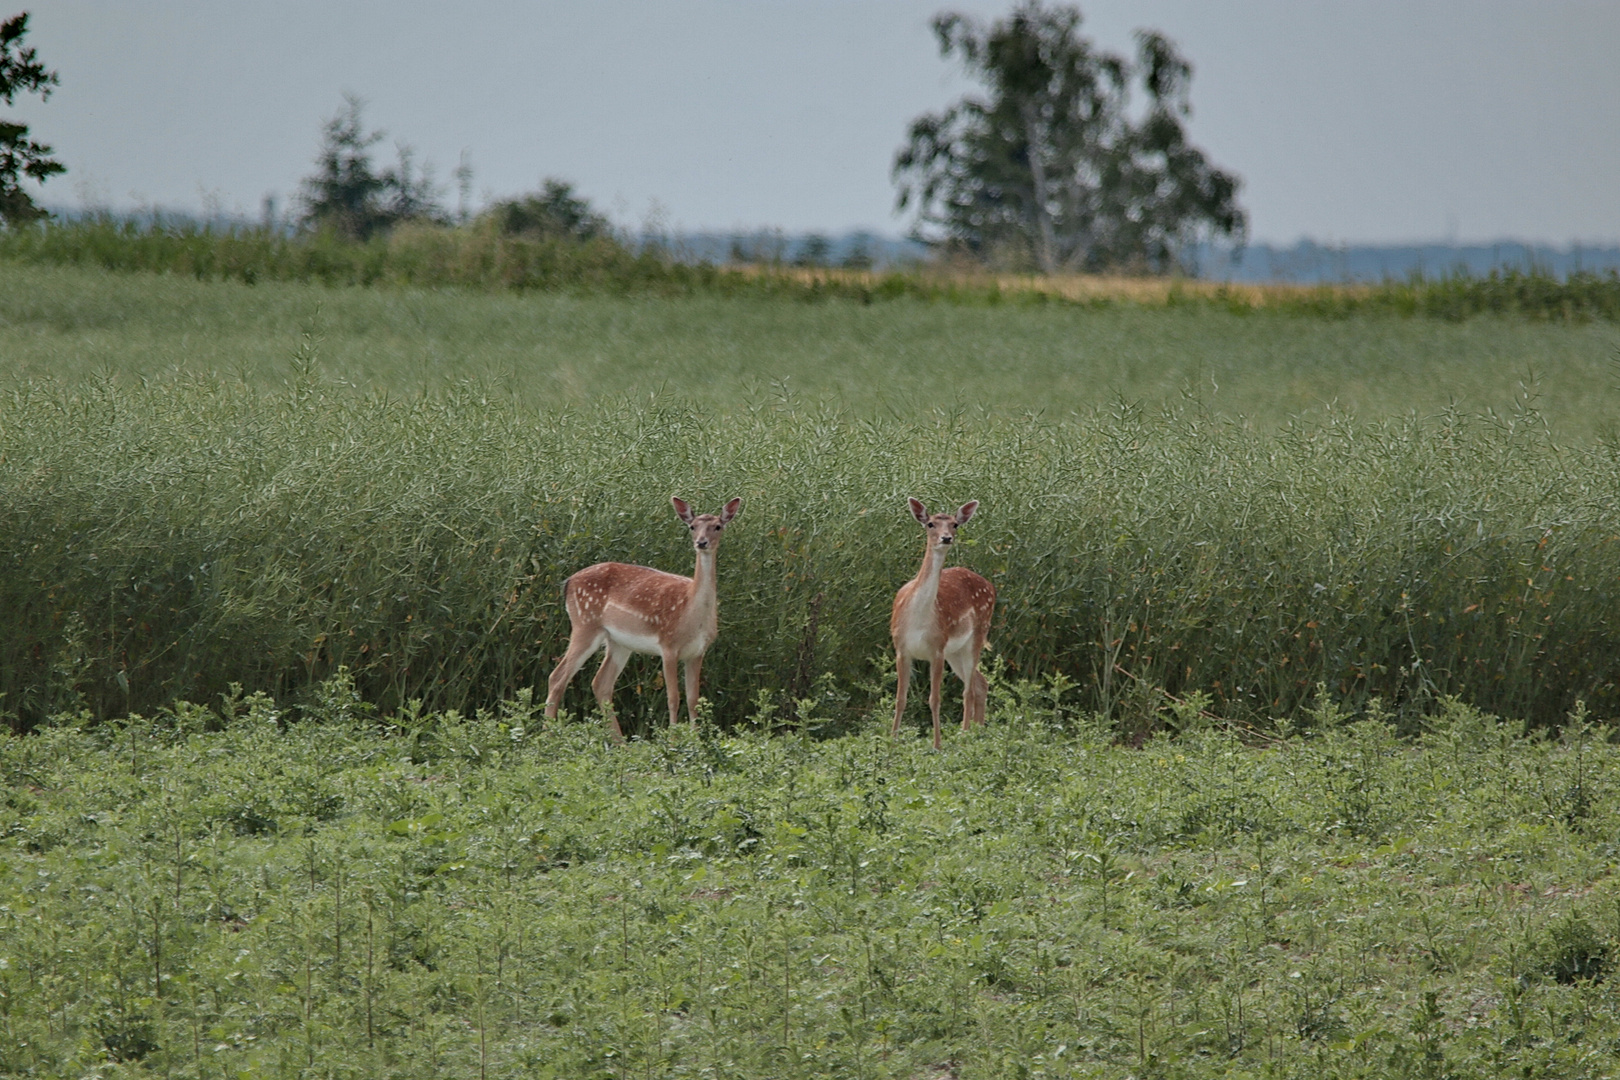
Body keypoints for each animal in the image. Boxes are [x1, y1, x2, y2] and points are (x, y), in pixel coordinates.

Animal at [544, 501, 745, 744]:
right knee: (557, 677)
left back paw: (620, 743)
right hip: (585, 624)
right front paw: (673, 740)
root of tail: (568, 582)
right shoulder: (668, 645)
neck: (691, 614)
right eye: (692, 527)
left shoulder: (698, 651)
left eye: (717, 526)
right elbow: (673, 697)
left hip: (619, 642)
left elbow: (693, 699)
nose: (701, 542)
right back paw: (549, 736)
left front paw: (696, 741)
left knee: (600, 683)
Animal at [894, 501, 991, 748]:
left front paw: (937, 745)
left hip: (978, 633)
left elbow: (934, 699)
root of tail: (990, 585)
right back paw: (977, 733)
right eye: (930, 523)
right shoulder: (901, 648)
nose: (946, 538)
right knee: (981, 683)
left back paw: (966, 736)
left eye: (955, 524)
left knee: (968, 690)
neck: (918, 621)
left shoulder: (937, 648)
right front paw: (891, 741)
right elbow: (900, 699)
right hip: (955, 651)